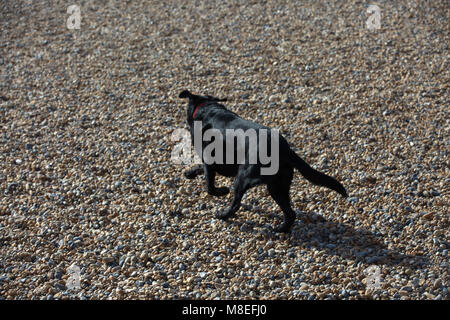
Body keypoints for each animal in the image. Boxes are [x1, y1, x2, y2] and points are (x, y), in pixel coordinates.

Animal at [179, 90, 348, 232]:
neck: (207, 109)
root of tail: (284, 150)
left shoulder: (210, 160)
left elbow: (210, 186)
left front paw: (222, 191)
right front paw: (190, 173)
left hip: (244, 177)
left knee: (236, 204)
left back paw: (223, 215)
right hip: (277, 186)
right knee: (290, 213)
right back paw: (281, 229)